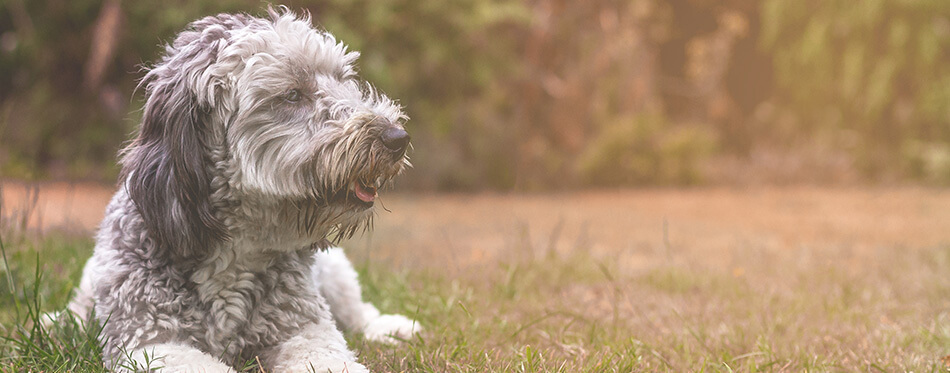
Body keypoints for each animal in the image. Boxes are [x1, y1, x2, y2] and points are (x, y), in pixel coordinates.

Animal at [62, 6, 416, 372]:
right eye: (292, 94)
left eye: (343, 79)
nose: (397, 138)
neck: (236, 249)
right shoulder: (149, 343)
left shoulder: (306, 329)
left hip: (335, 274)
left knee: (358, 311)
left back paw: (392, 328)